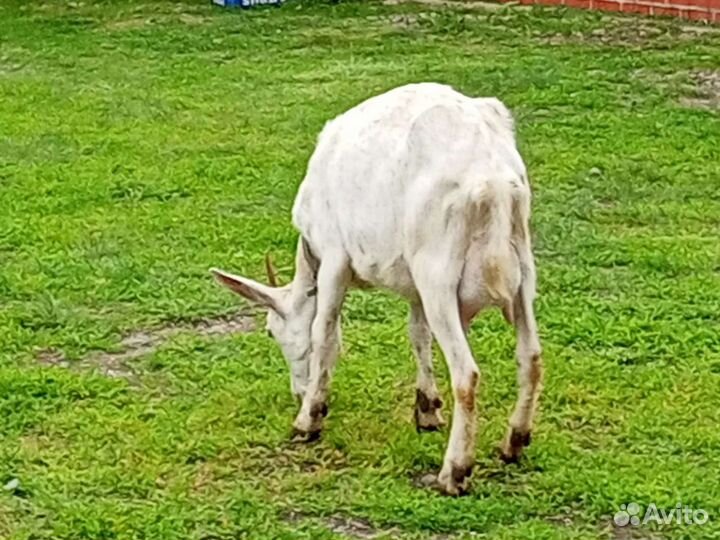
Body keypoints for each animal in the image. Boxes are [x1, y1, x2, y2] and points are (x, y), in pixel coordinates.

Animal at [211, 82, 544, 496]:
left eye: (272, 332)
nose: (297, 393)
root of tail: (492, 178)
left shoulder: (335, 257)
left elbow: (324, 331)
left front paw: (309, 418)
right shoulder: (414, 287)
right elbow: (417, 334)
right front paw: (427, 409)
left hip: (437, 270)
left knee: (467, 374)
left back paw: (454, 471)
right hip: (521, 266)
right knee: (531, 356)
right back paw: (514, 442)